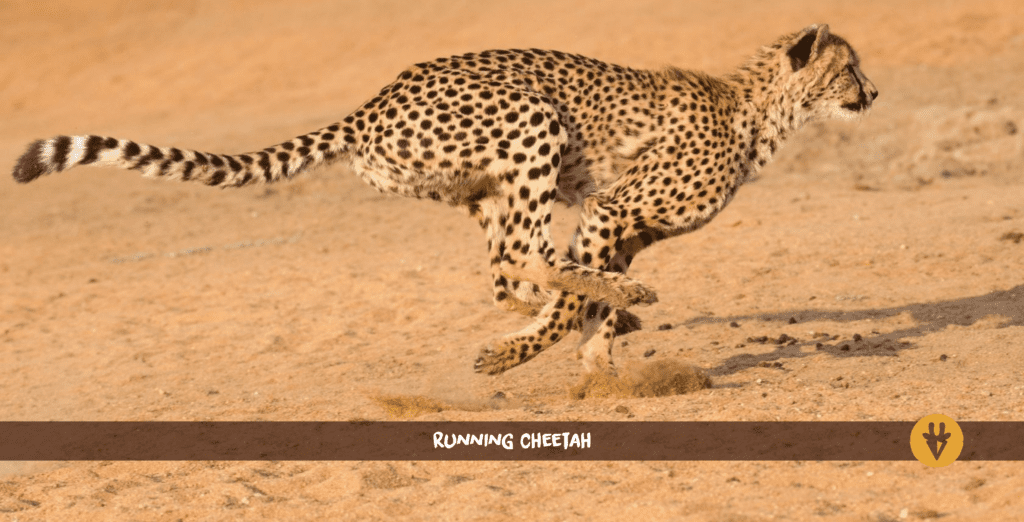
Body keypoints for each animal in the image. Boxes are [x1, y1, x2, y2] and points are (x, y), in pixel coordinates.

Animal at [12, 24, 877, 377]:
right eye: (849, 68)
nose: (874, 93)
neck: (760, 112)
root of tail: (374, 100)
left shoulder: (621, 227)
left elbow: (580, 299)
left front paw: (597, 354)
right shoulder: (609, 212)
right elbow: (578, 294)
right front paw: (546, 352)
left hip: (484, 185)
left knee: (503, 270)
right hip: (532, 124)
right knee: (524, 257)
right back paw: (589, 310)